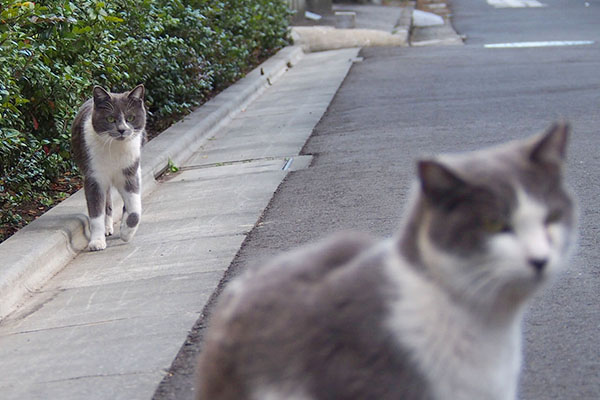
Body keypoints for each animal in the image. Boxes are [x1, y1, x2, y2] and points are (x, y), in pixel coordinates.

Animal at [69, 84, 145, 250]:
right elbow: (96, 213)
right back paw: (107, 228)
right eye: (110, 118)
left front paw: (126, 233)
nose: (122, 129)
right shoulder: (94, 177)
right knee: (107, 202)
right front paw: (97, 242)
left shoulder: (130, 173)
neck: (115, 148)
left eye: (130, 118)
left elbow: (135, 210)